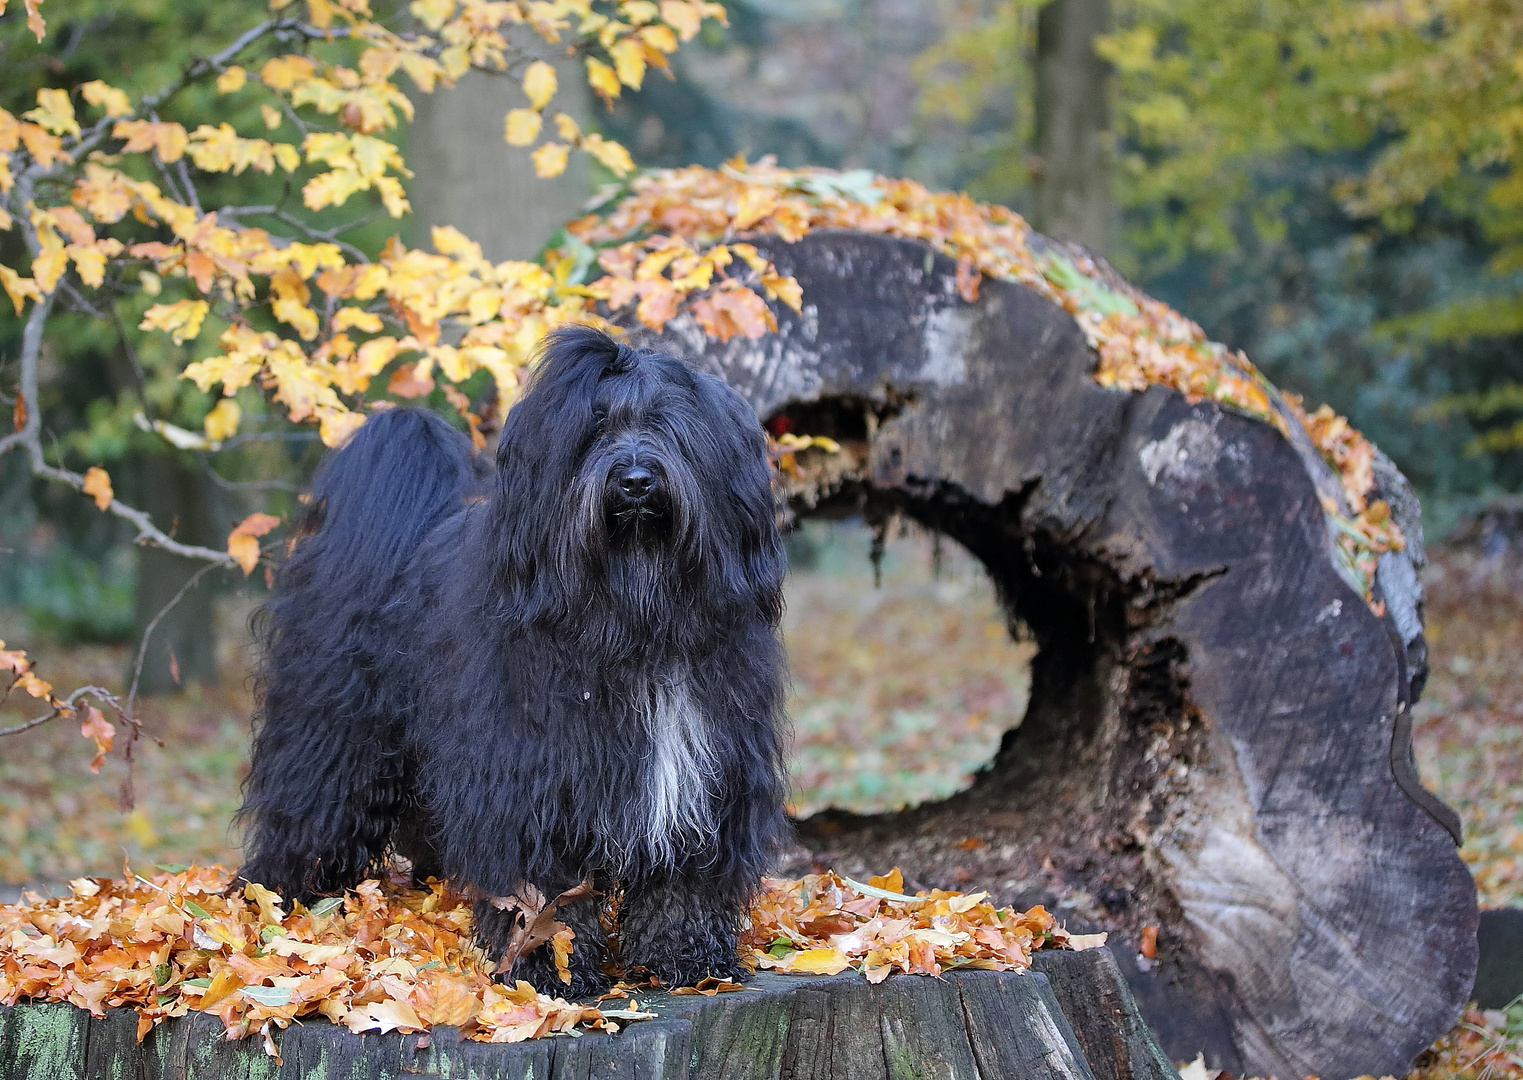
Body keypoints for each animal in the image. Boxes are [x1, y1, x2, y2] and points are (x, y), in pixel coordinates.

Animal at [240, 322, 785, 993]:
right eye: (592, 430)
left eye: (667, 424)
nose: (634, 479)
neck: (633, 622)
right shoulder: (530, 776)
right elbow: (541, 890)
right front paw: (548, 969)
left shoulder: (709, 774)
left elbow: (687, 876)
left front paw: (687, 959)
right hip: (334, 732)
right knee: (309, 808)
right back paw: (276, 901)